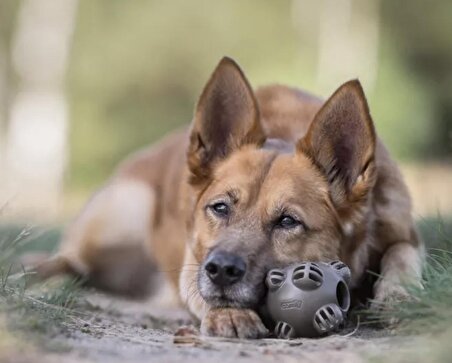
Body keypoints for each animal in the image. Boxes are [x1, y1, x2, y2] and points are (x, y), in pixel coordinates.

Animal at [32, 56, 424, 338]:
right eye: (220, 208)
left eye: (288, 221)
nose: (220, 270)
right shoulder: (192, 264)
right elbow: (200, 290)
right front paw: (229, 313)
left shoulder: (405, 234)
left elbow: (402, 255)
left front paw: (398, 297)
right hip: (126, 211)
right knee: (70, 258)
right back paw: (43, 271)